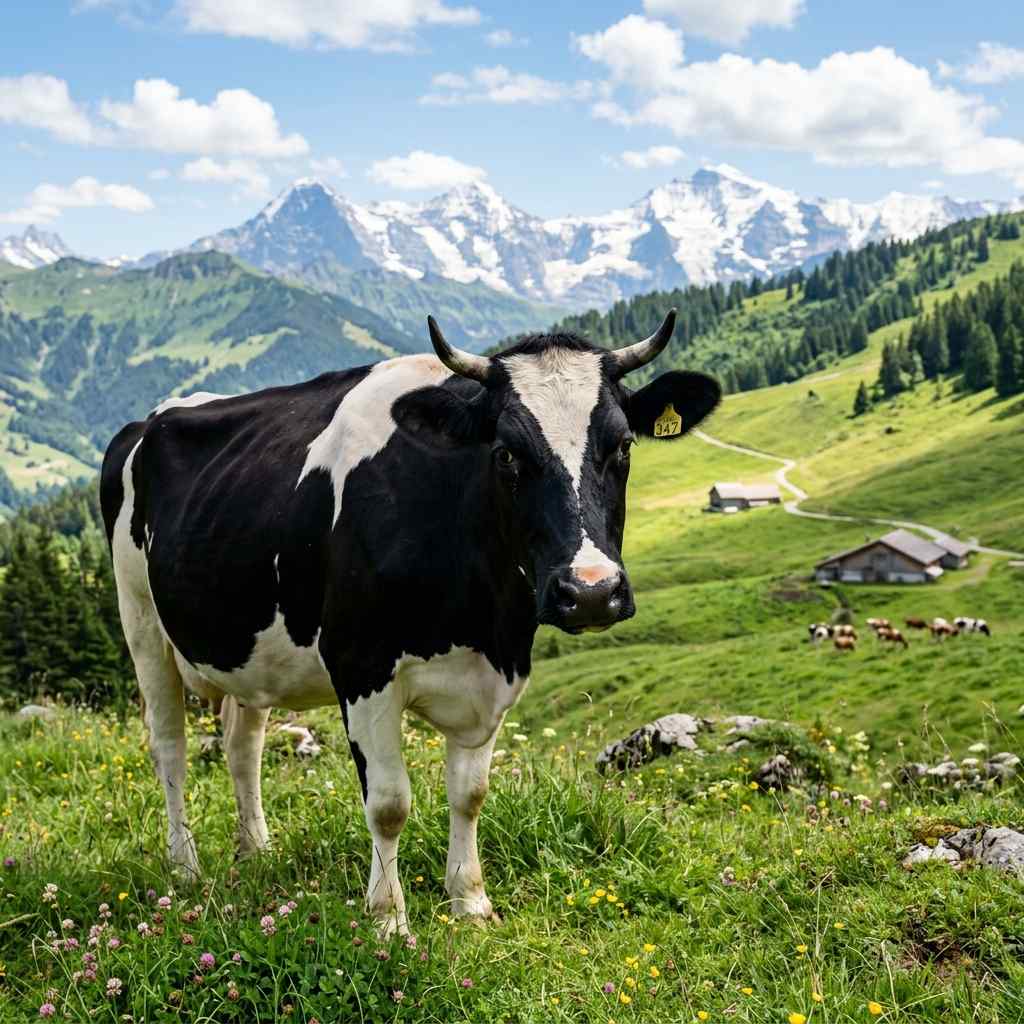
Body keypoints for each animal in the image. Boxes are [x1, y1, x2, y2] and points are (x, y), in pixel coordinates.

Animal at [99, 311, 720, 937]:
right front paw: (387, 920)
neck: (478, 615)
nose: (591, 592)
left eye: (623, 446)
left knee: (241, 745)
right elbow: (390, 803)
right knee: (169, 745)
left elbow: (470, 793)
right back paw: (185, 867)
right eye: (506, 453)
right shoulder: (361, 667)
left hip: (249, 651)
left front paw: (470, 901)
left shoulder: (493, 673)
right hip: (141, 620)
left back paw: (255, 851)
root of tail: (153, 419)